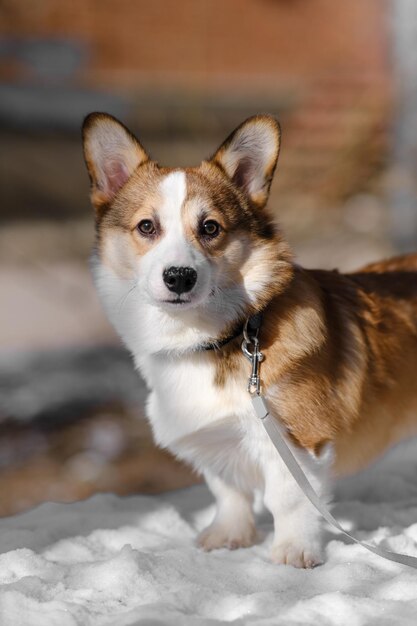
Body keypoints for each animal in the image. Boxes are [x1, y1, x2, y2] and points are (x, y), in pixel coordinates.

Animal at [82, 112, 416, 564]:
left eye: (210, 227)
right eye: (146, 226)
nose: (179, 277)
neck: (224, 335)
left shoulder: (295, 440)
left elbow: (289, 499)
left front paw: (294, 552)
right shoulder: (218, 443)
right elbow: (229, 492)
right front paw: (229, 537)